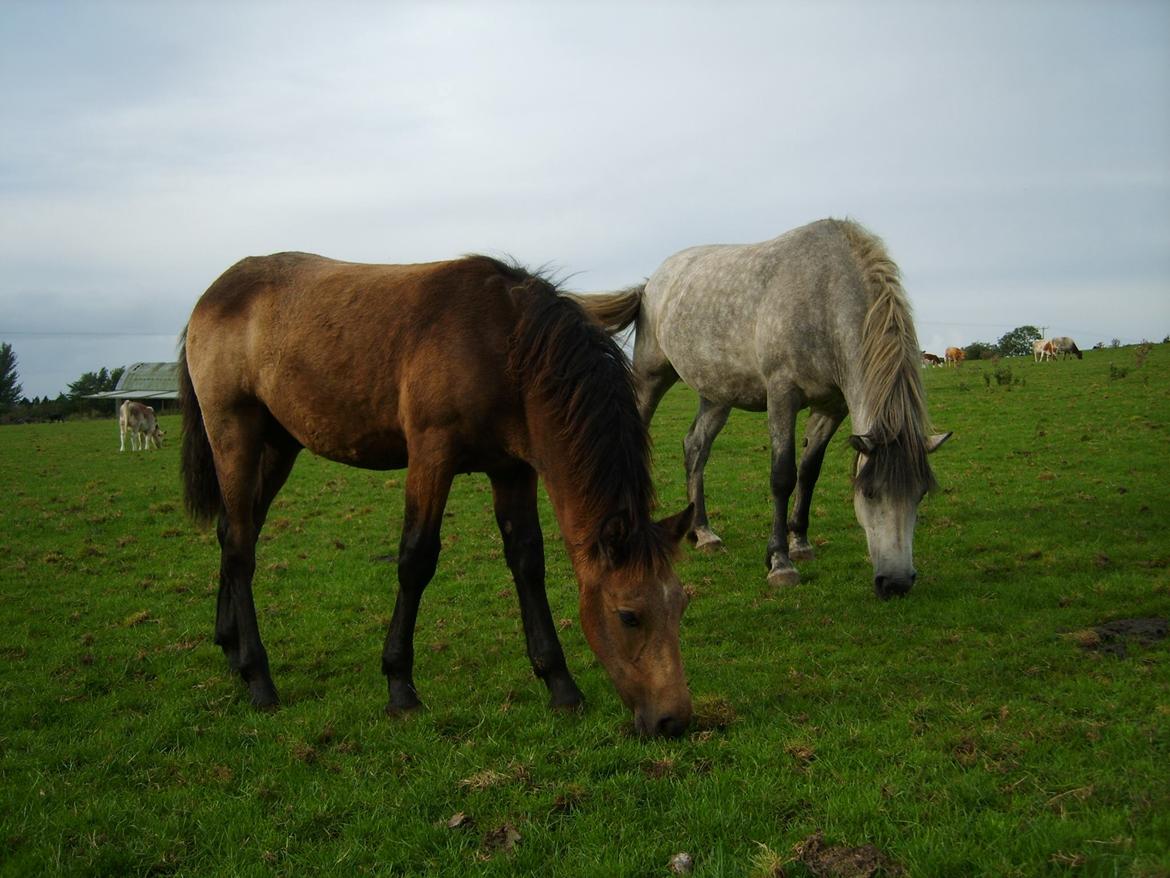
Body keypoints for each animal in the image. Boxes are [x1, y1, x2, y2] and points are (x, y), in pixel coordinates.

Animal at [180, 252, 692, 735]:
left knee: (235, 534)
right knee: (241, 548)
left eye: (681, 605)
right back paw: (258, 678)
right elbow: (416, 560)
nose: (674, 721)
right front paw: (400, 687)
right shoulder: (432, 454)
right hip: (235, 434)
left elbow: (528, 562)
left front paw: (560, 684)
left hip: (279, 445)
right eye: (629, 616)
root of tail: (215, 293)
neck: (504, 343)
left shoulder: (512, 471)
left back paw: (230, 648)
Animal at [573, 221, 950, 604]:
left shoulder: (831, 407)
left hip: (716, 396)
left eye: (920, 493)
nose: (897, 583)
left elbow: (809, 472)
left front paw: (800, 543)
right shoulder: (782, 394)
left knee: (696, 448)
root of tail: (651, 283)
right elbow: (783, 476)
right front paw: (780, 562)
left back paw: (703, 532)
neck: (824, 295)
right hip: (651, 378)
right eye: (870, 492)